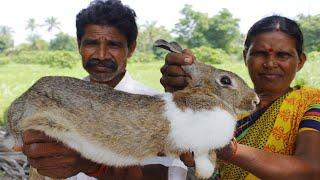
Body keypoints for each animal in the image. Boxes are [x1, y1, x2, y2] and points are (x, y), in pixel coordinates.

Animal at [6, 39, 258, 180]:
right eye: (225, 81)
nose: (255, 100)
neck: (208, 95)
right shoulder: (198, 145)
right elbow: (204, 157)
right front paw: (204, 172)